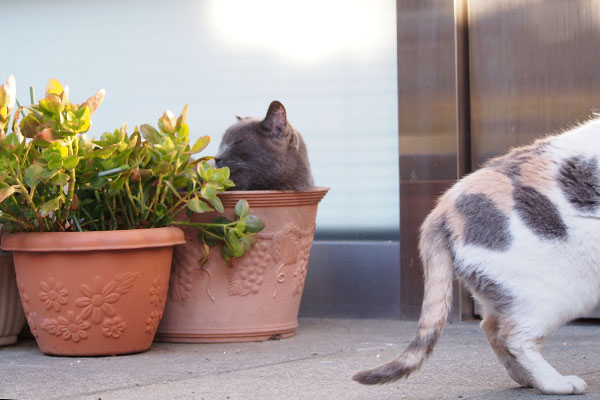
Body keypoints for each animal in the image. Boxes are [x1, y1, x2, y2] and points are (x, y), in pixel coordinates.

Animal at [352, 119, 600, 394]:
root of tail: (442, 208)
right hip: (560, 292)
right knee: (514, 336)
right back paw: (554, 382)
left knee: (491, 326)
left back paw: (526, 379)